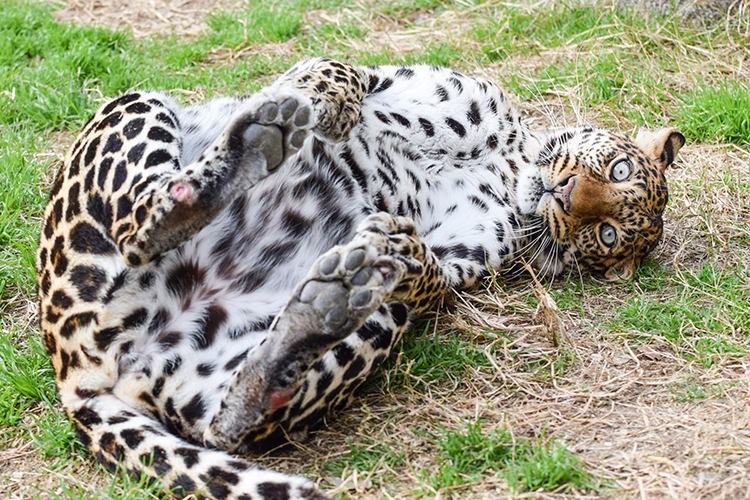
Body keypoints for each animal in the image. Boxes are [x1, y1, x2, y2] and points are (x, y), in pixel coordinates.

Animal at [36, 56, 688, 498]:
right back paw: (251, 147)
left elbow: (430, 274)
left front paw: (399, 245)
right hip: (133, 105)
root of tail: (75, 375)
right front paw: (324, 105)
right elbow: (335, 70)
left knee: (231, 425)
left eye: (605, 235)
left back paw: (326, 300)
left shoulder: (460, 259)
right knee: (138, 222)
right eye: (618, 167)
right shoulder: (397, 79)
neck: (511, 167)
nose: (568, 194)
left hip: (338, 331)